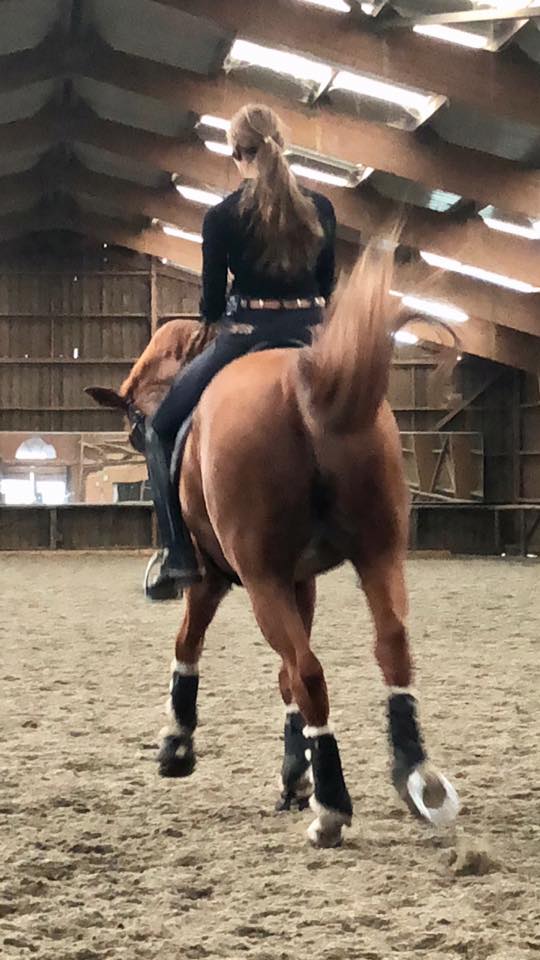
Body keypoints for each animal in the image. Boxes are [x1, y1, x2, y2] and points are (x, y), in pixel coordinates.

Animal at [87, 242, 459, 847]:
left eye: (139, 431)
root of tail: (304, 389)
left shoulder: (215, 578)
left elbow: (192, 644)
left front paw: (177, 744)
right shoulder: (299, 580)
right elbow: (286, 677)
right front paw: (293, 774)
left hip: (261, 579)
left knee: (311, 672)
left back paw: (332, 808)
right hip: (378, 556)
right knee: (390, 648)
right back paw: (415, 776)